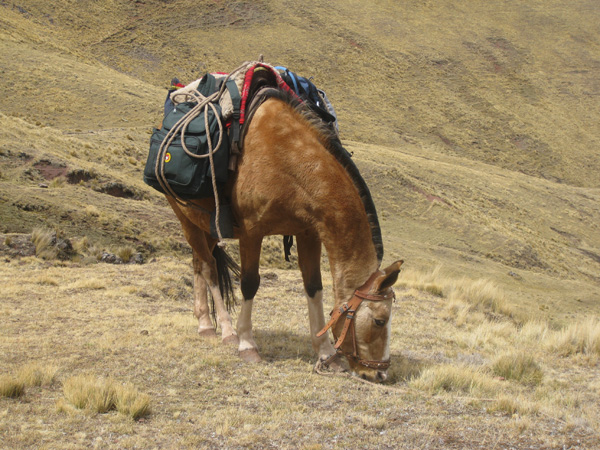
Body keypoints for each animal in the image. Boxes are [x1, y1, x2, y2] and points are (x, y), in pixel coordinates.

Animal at [165, 69, 404, 380]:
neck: (291, 161)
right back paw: (225, 331)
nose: (380, 374)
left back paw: (205, 323)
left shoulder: (308, 233)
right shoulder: (251, 232)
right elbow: (250, 283)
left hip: (205, 223)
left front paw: (326, 354)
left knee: (198, 264)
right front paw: (247, 344)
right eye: (379, 321)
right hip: (185, 217)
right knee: (208, 269)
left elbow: (314, 287)